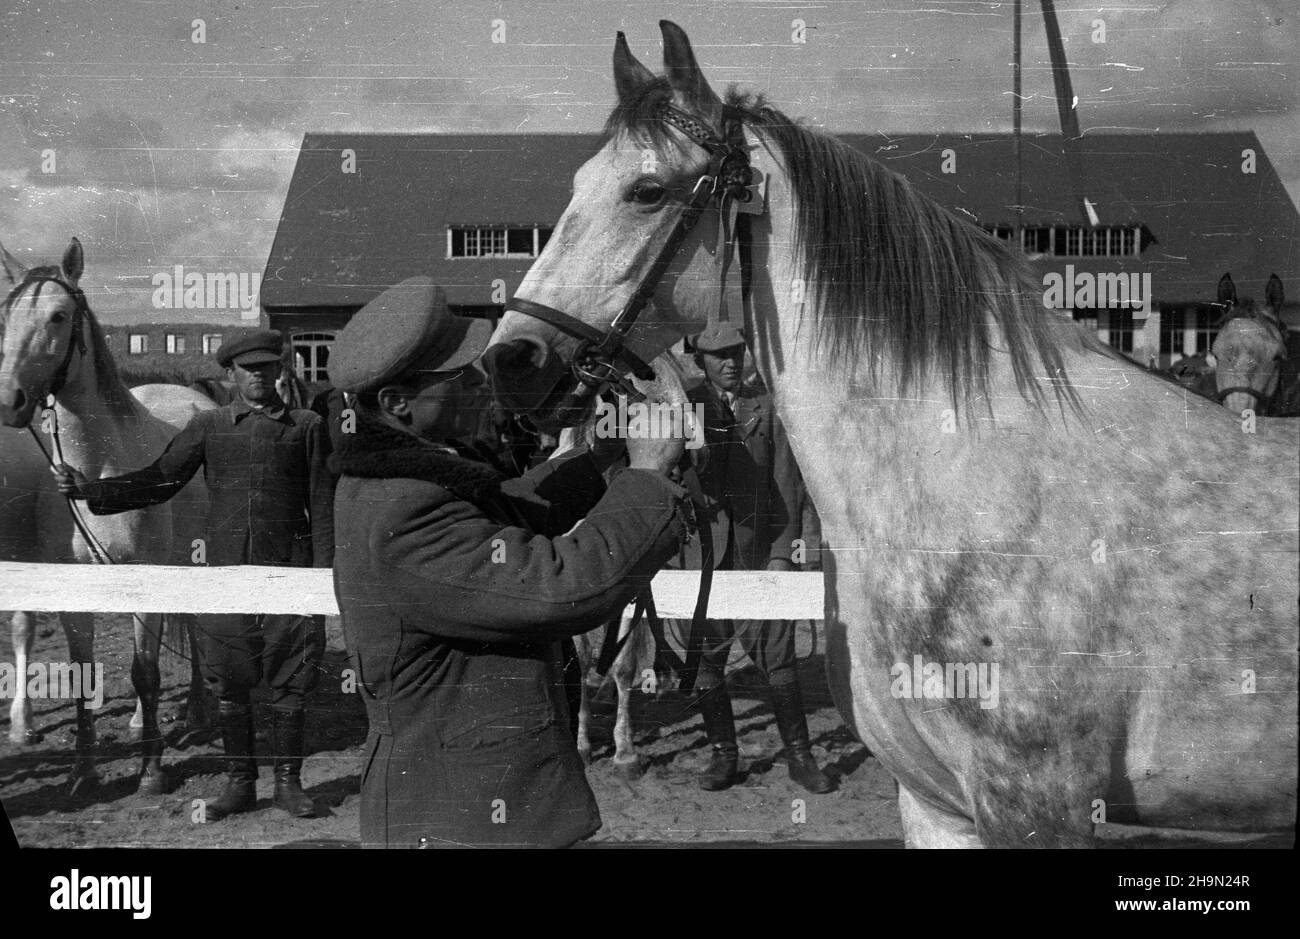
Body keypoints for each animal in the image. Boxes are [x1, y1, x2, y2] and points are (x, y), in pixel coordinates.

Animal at [0, 237, 207, 793]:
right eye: (6, 315)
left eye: (58, 316)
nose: (10, 400)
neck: (99, 473)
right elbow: (83, 669)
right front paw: (82, 769)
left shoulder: (146, 576)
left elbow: (146, 672)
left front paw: (152, 770)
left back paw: (195, 712)